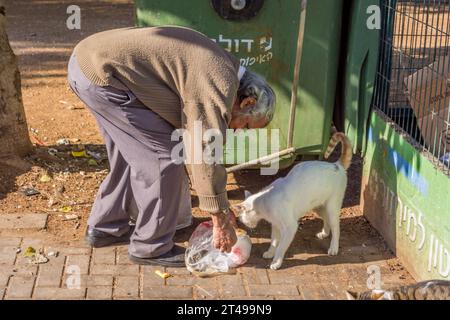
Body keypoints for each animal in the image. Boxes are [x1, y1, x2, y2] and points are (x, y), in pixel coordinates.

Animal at [234, 132, 354, 270]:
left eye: (242, 217)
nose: (242, 222)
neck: (264, 202)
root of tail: (336, 165)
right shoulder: (275, 225)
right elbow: (274, 241)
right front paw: (270, 252)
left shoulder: (290, 227)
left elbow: (281, 247)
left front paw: (276, 262)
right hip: (318, 207)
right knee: (326, 220)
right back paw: (324, 233)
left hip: (332, 207)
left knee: (336, 227)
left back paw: (333, 248)